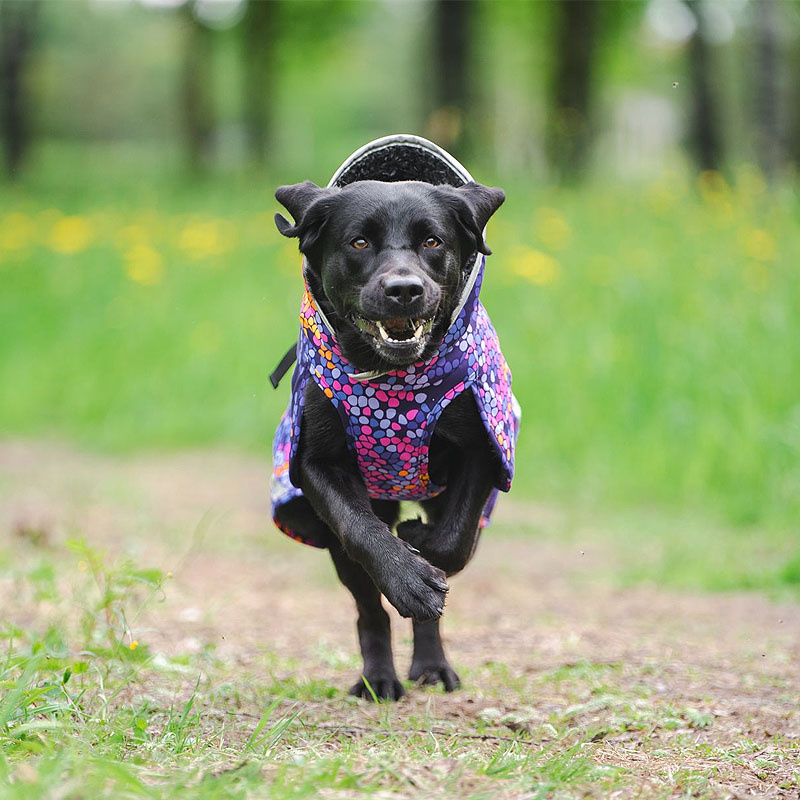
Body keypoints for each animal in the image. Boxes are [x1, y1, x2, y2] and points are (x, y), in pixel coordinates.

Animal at [272, 180, 504, 700]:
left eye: (432, 241)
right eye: (359, 242)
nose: (404, 290)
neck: (394, 384)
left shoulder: (482, 449)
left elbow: (454, 544)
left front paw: (421, 548)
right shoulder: (315, 462)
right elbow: (361, 530)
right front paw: (409, 581)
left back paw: (433, 666)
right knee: (369, 609)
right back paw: (378, 678)